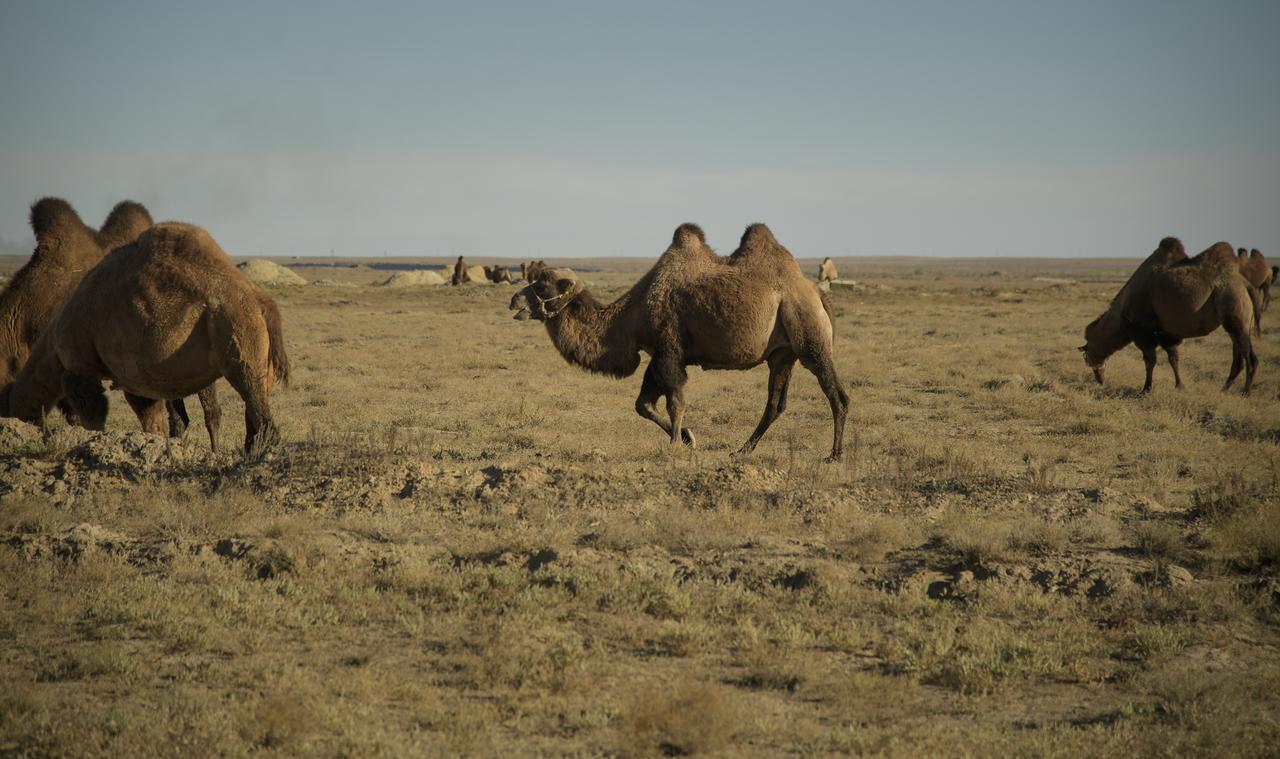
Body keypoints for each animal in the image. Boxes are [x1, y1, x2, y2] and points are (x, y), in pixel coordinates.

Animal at [0, 222, 289, 453]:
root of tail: (261, 300)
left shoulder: (80, 368)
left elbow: (94, 415)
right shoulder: (134, 380)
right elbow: (153, 421)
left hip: (237, 332)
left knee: (255, 402)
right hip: (258, 353)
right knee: (254, 406)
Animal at [509, 223, 849, 461]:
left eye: (541, 285)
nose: (514, 300)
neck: (633, 315)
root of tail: (817, 293)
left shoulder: (669, 349)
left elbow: (675, 401)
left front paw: (675, 444)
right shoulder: (658, 354)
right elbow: (643, 405)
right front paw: (687, 437)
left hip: (809, 337)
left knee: (837, 395)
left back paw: (833, 455)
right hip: (782, 354)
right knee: (775, 403)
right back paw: (741, 450)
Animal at [1081, 238, 1260, 393]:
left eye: (1086, 358)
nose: (1099, 380)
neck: (1122, 313)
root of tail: (1245, 285)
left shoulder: (1143, 329)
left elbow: (1150, 360)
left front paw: (1146, 389)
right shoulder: (1167, 332)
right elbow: (1173, 358)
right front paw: (1180, 386)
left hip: (1235, 312)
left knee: (1250, 358)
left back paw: (1245, 392)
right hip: (1235, 323)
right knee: (1238, 359)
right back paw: (1224, 389)